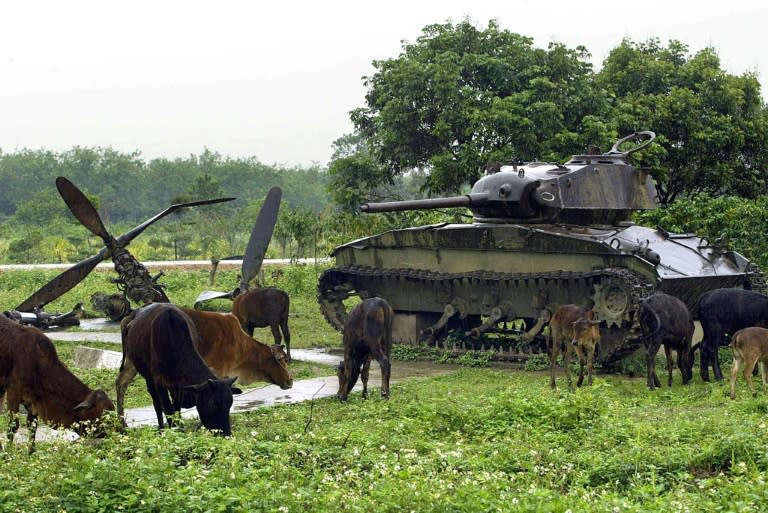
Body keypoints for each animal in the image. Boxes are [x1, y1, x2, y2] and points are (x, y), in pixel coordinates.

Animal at [0, 312, 115, 452]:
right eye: (103, 414)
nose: (120, 430)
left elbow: (32, 426)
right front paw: (8, 455)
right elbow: (13, 426)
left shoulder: (33, 398)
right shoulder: (13, 390)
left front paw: (31, 452)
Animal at [117, 302, 240, 434]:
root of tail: (135, 313)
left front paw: (180, 427)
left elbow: (176, 408)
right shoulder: (159, 382)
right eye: (213, 404)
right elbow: (168, 410)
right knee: (150, 399)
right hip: (142, 370)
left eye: (230, 403)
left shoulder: (178, 386)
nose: (226, 433)